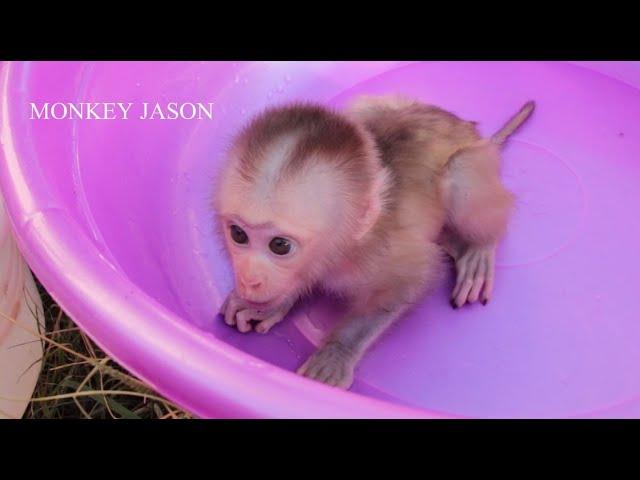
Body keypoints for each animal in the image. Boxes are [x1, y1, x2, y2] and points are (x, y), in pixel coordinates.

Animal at [212, 94, 532, 390]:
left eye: (279, 245)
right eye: (238, 234)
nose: (249, 279)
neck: (342, 249)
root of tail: (468, 130)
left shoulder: (382, 255)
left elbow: (406, 285)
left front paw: (336, 352)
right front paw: (273, 304)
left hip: (475, 166)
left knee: (460, 173)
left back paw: (477, 247)